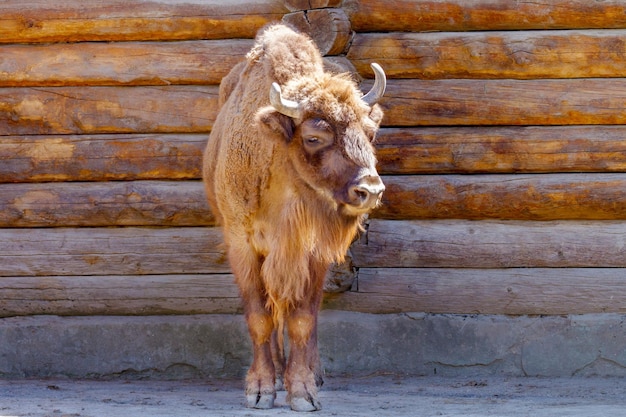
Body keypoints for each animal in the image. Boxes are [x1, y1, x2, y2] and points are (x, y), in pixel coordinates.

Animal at [202, 24, 382, 412]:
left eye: (370, 133)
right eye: (314, 137)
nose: (370, 190)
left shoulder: (311, 252)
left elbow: (302, 319)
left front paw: (301, 391)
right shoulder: (243, 245)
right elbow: (260, 317)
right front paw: (260, 390)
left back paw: (311, 374)